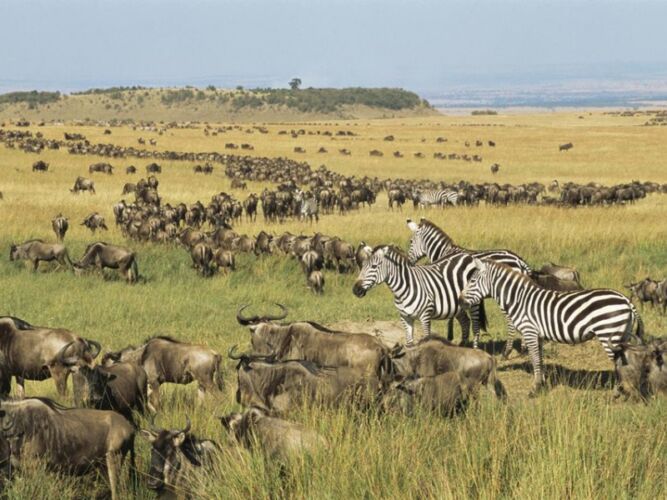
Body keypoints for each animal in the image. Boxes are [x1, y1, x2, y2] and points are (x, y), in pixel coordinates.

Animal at [352, 245, 486, 346]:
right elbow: (409, 343)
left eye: (374, 266)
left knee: (475, 328)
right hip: (458, 306)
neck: (404, 288)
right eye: (362, 266)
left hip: (474, 302)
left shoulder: (425, 316)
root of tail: (468, 255)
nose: (355, 290)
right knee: (465, 322)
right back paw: (462, 347)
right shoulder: (405, 317)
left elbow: (427, 340)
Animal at [406, 217, 532, 354]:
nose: (409, 261)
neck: (445, 251)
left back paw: (508, 349)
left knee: (511, 321)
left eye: (411, 241)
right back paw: (524, 347)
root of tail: (519, 260)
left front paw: (451, 335)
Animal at [460, 259, 643, 396]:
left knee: (619, 363)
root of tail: (626, 300)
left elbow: (534, 359)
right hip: (622, 335)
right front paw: (542, 384)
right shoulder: (539, 335)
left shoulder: (529, 331)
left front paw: (534, 389)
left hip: (609, 334)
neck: (519, 299)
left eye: (472, 281)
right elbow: (540, 359)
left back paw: (617, 392)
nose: (460, 301)